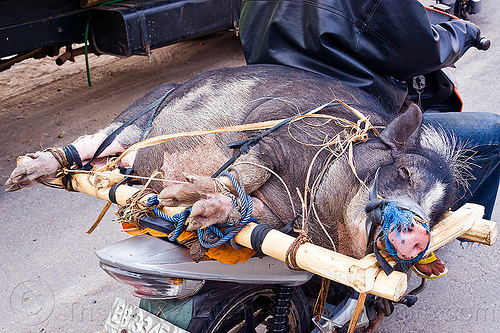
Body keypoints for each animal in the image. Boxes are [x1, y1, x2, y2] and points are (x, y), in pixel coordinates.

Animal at [4, 65, 464, 268]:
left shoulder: (278, 217)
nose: (418, 235)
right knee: (91, 144)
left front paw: (194, 212)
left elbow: (250, 212)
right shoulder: (274, 127)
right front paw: (180, 197)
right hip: (137, 118)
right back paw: (19, 177)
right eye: (403, 172)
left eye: (437, 214)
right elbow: (245, 170)